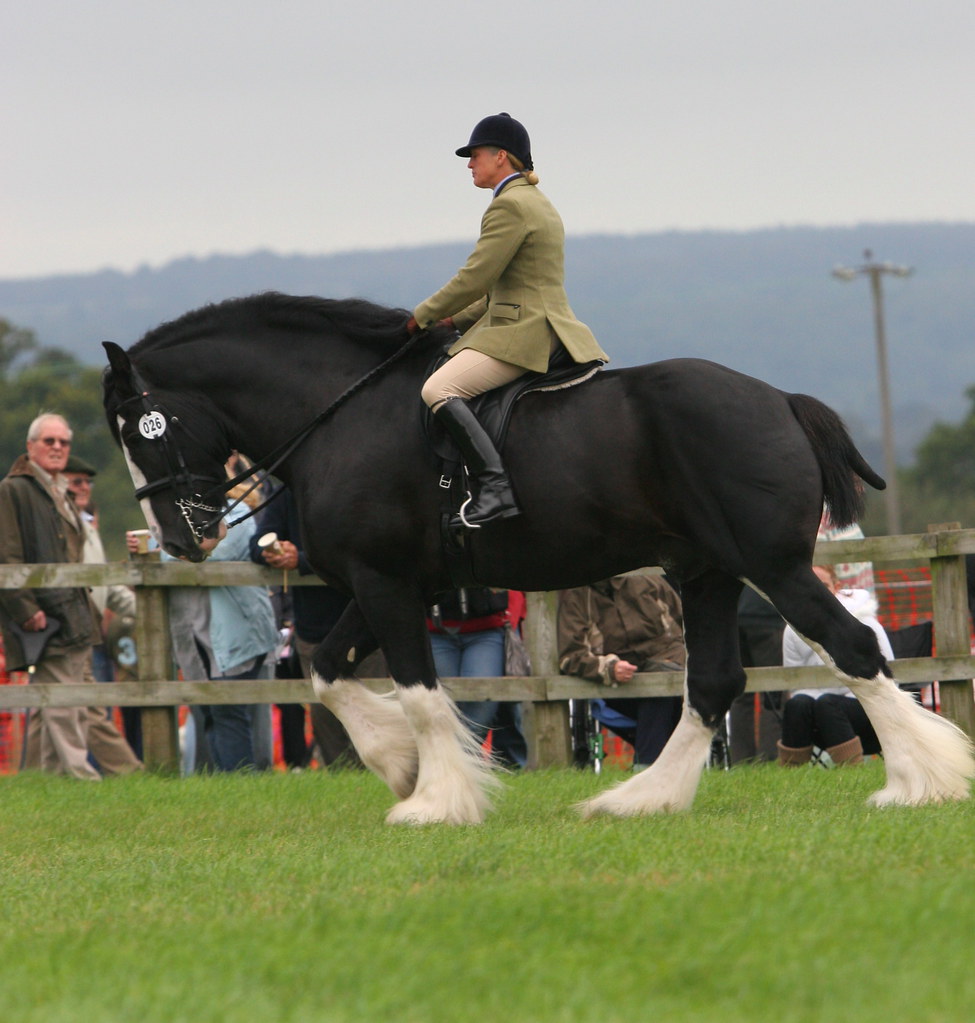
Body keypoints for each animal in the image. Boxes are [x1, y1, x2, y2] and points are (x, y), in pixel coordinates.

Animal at [102, 292, 974, 823]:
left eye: (137, 427)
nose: (179, 538)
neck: (338, 411)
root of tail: (781, 400)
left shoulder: (386, 583)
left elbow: (416, 690)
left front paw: (434, 800)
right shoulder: (392, 584)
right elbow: (326, 668)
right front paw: (400, 767)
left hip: (775, 566)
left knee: (852, 648)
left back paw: (918, 782)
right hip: (708, 574)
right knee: (713, 683)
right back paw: (641, 799)